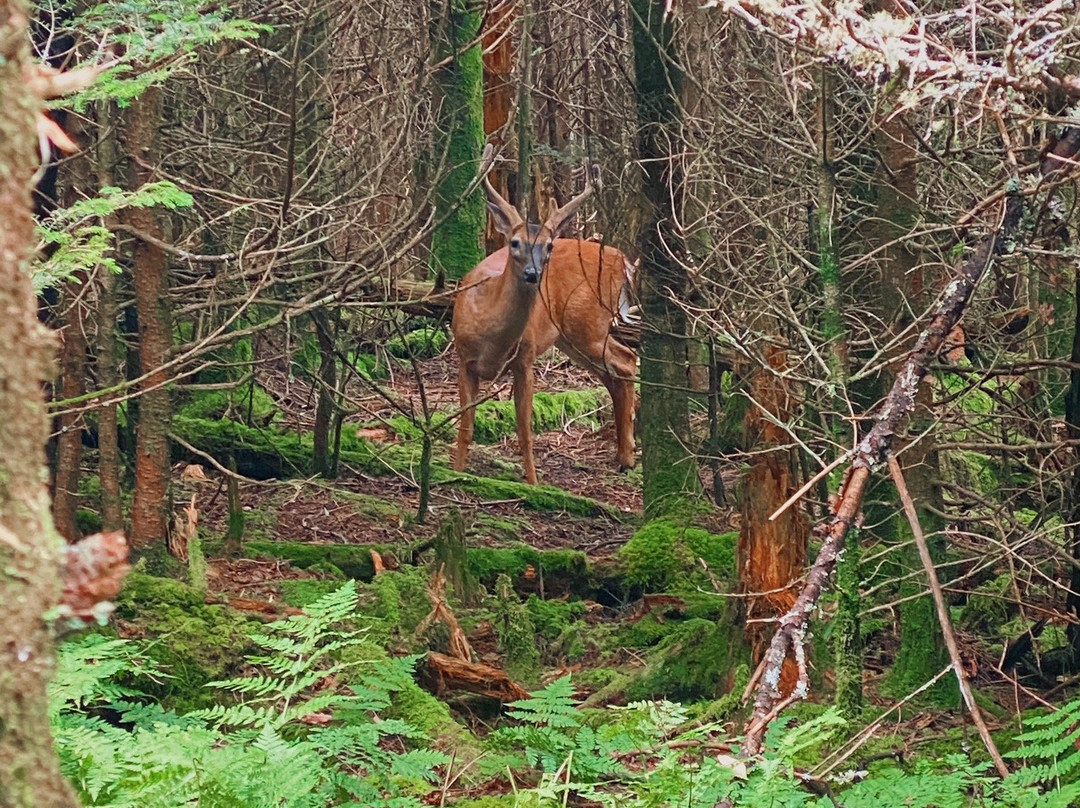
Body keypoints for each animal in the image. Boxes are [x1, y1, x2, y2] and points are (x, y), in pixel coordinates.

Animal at [451, 144, 635, 483]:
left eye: (549, 246)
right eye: (514, 242)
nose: (533, 274)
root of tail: (622, 259)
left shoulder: (525, 357)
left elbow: (524, 430)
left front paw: (534, 483)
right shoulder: (464, 358)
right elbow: (465, 427)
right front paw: (455, 472)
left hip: (588, 323)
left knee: (626, 360)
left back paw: (628, 454)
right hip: (571, 337)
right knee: (613, 372)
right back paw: (624, 455)